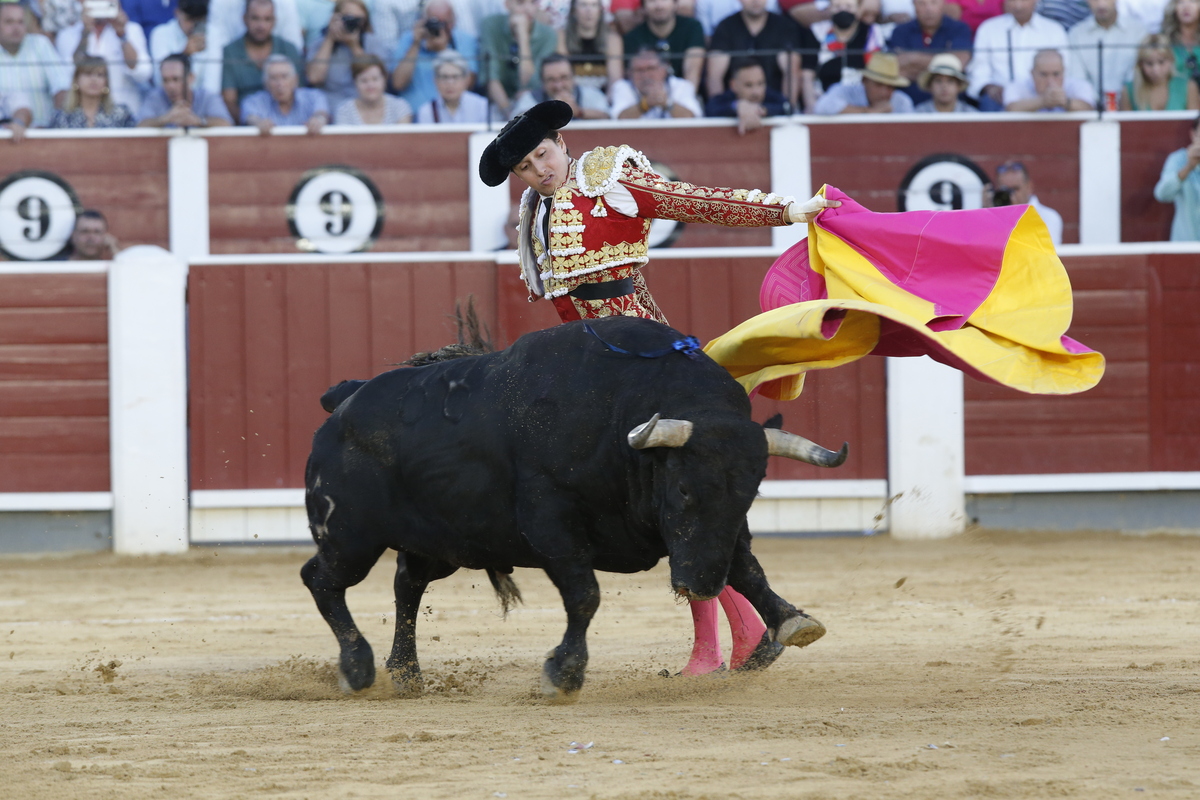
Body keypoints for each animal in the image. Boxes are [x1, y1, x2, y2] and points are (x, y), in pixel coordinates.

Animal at [300, 316, 844, 700]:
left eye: (750, 492)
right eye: (686, 490)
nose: (700, 584)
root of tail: (346, 399)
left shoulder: (716, 534)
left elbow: (748, 567)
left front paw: (792, 620)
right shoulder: (554, 526)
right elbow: (584, 596)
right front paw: (563, 674)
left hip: (440, 543)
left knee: (406, 587)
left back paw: (407, 674)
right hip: (349, 536)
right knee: (322, 580)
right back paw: (358, 669)